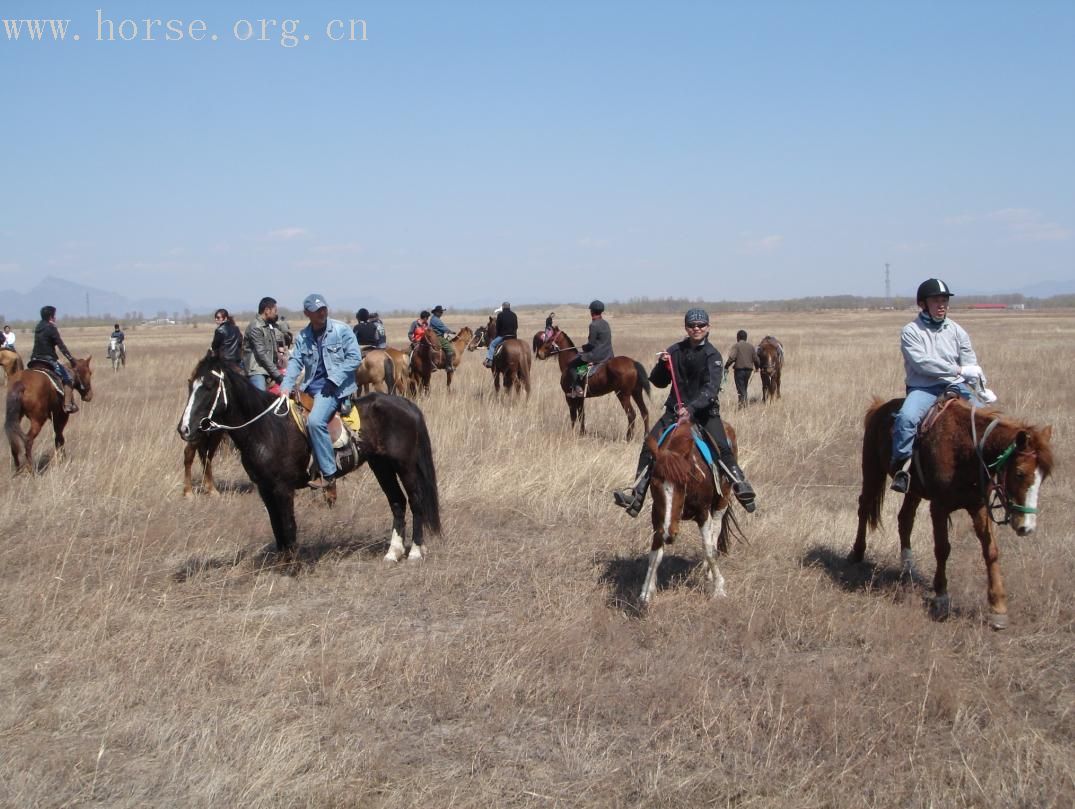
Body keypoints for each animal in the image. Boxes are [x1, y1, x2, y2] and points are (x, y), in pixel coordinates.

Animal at [178, 356, 438, 558]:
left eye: (210, 386)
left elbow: (288, 525)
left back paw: (415, 551)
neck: (266, 428)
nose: (184, 429)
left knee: (415, 500)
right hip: (381, 465)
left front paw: (293, 565)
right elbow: (276, 526)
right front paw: (283, 563)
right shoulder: (265, 489)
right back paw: (393, 552)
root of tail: (406, 404)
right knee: (397, 502)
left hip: (404, 465)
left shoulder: (283, 488)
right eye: (190, 384)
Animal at [640, 419, 743, 610]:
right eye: (654, 483)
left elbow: (709, 549)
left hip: (722, 501)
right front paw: (646, 593)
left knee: (715, 533)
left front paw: (719, 589)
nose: (670, 534)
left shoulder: (703, 513)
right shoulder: (658, 516)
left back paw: (709, 572)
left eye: (683, 483)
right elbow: (654, 556)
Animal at [851, 397, 1053, 631]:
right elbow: (942, 549)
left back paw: (908, 567)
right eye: (1020, 473)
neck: (967, 451)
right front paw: (941, 598)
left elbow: (991, 551)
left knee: (905, 519)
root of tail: (879, 406)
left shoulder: (978, 506)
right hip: (872, 470)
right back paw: (856, 552)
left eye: (1043, 477)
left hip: (913, 490)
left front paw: (998, 607)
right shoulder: (939, 507)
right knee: (864, 507)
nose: (1026, 527)